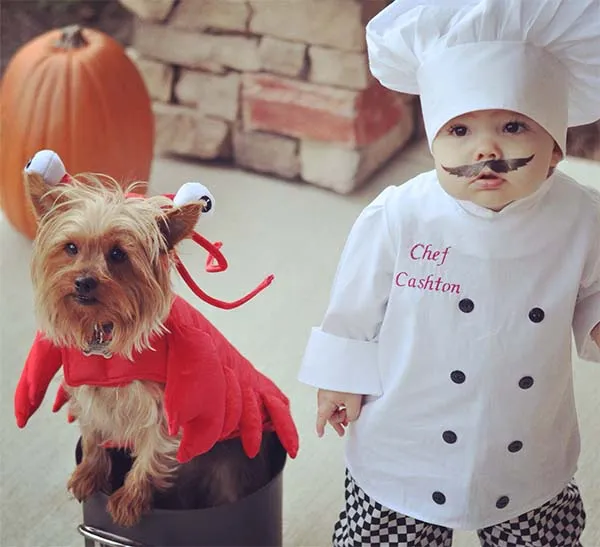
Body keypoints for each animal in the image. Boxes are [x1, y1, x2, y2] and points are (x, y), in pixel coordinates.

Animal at [15, 150, 300, 528]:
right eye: (71, 248)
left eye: (118, 254)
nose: (83, 281)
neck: (105, 334)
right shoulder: (89, 389)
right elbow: (92, 433)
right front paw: (89, 473)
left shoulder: (164, 406)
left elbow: (152, 450)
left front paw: (130, 498)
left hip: (231, 467)